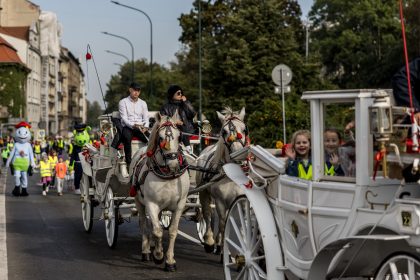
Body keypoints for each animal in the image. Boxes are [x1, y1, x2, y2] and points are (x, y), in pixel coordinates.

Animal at [133, 112, 189, 272]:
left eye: (179, 136)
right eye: (161, 138)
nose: (174, 164)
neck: (168, 175)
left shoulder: (180, 205)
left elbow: (172, 231)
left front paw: (170, 260)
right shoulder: (151, 203)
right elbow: (157, 231)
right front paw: (158, 255)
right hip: (139, 202)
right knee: (144, 223)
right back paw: (146, 251)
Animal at [197, 106, 249, 254]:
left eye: (244, 129)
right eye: (224, 131)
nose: (239, 157)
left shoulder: (242, 200)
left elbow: (243, 224)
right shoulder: (220, 201)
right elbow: (222, 223)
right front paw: (220, 246)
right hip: (204, 193)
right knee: (207, 214)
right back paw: (210, 241)